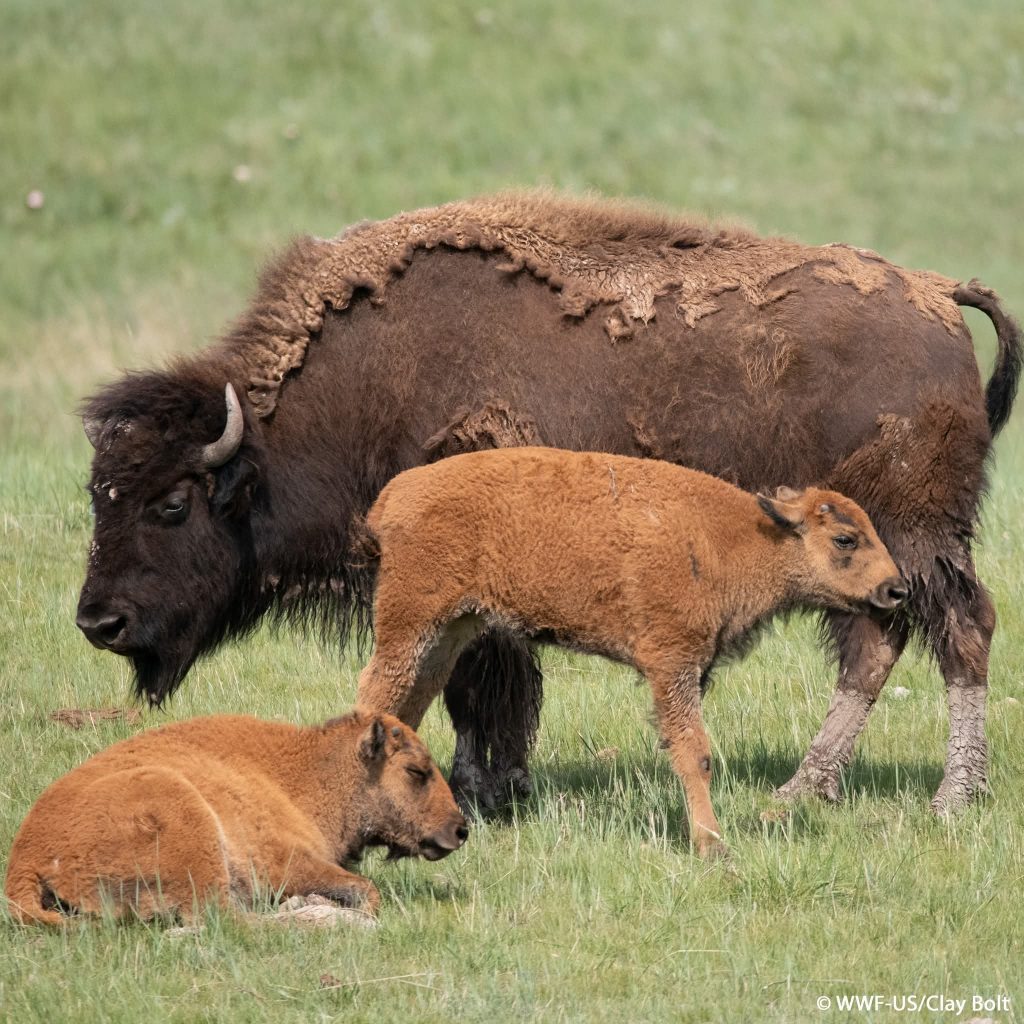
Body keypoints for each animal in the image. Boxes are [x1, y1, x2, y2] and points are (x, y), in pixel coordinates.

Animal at [76, 191, 1020, 814]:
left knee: (958, 630)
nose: (99, 622)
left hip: (914, 534)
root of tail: (936, 293)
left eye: (172, 504)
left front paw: (483, 790)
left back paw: (950, 797)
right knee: (878, 643)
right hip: (866, 555)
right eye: (98, 493)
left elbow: (481, 684)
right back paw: (803, 792)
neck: (368, 386)